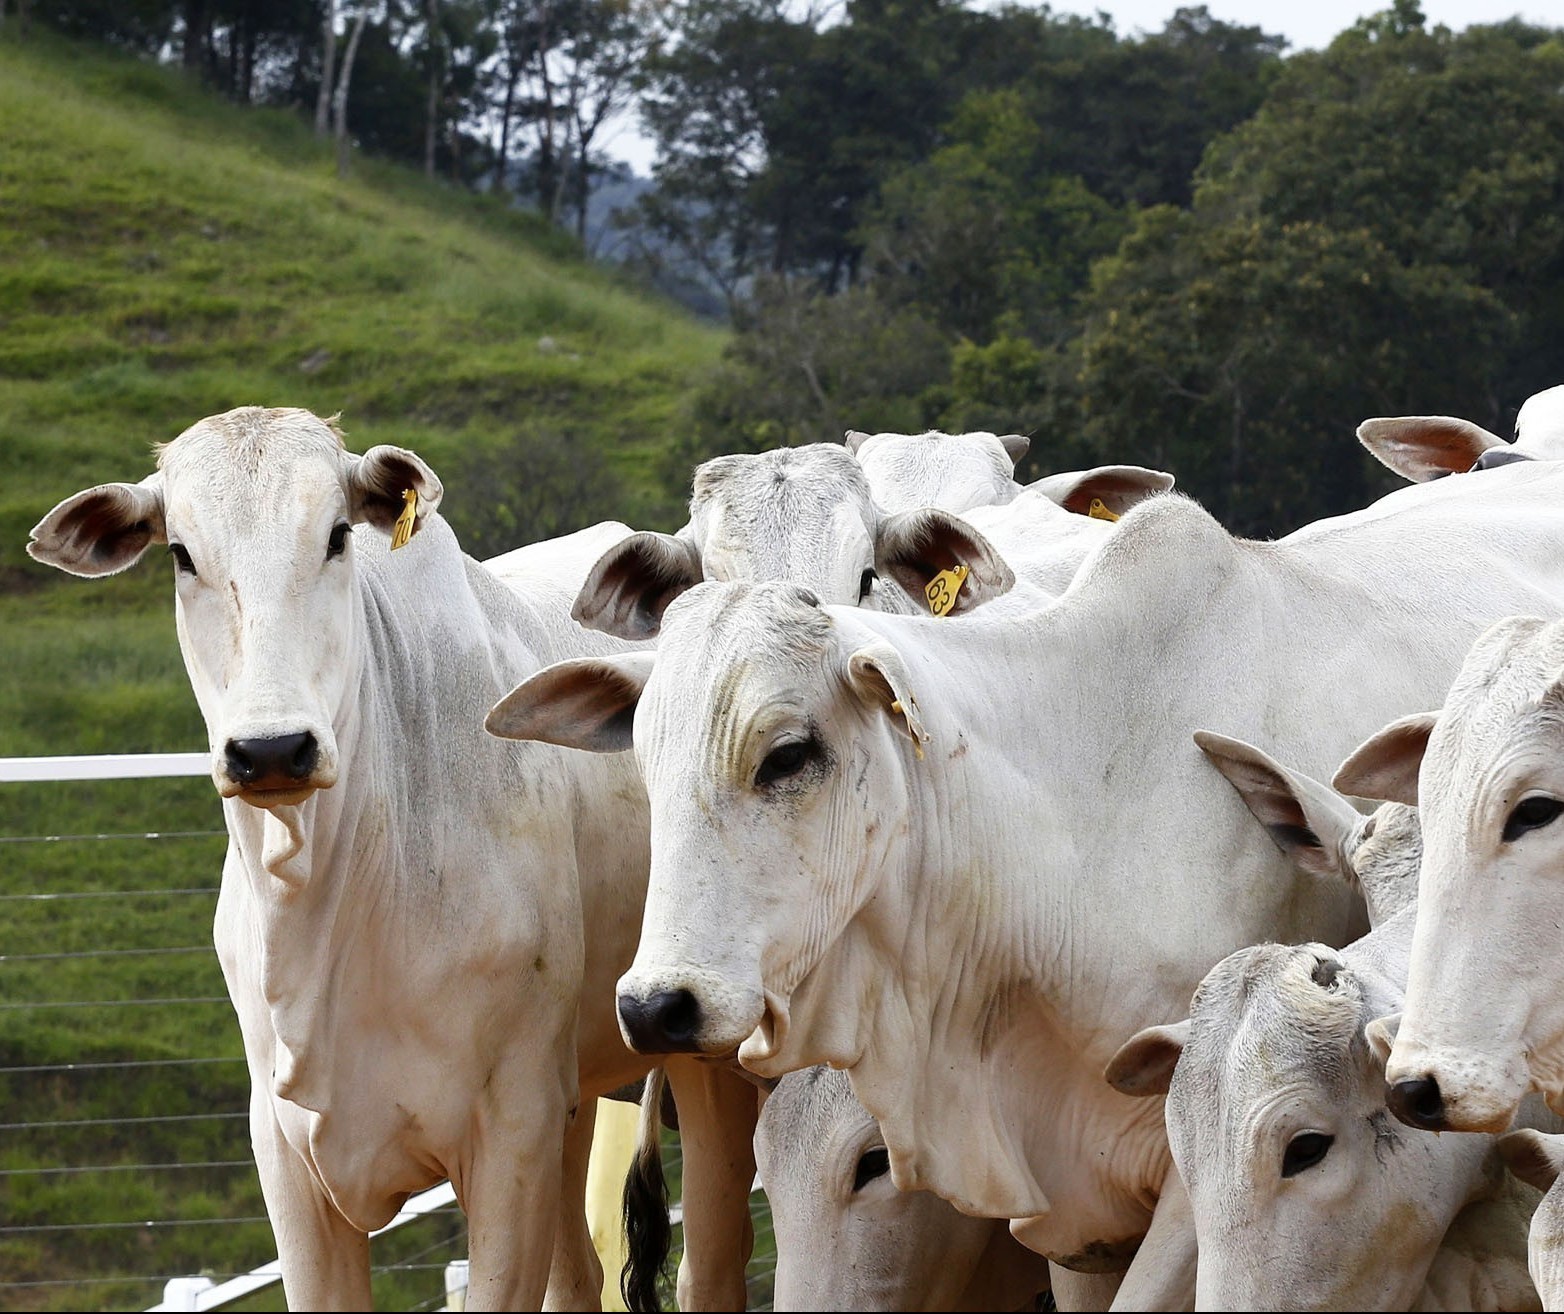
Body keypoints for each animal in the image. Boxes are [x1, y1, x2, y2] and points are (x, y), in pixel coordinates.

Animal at [24, 406, 756, 1307]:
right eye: (181, 553)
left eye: (337, 534)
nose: (272, 750)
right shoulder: (290, 1163)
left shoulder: (508, 1139)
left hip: (701, 1065)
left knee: (713, 1258)